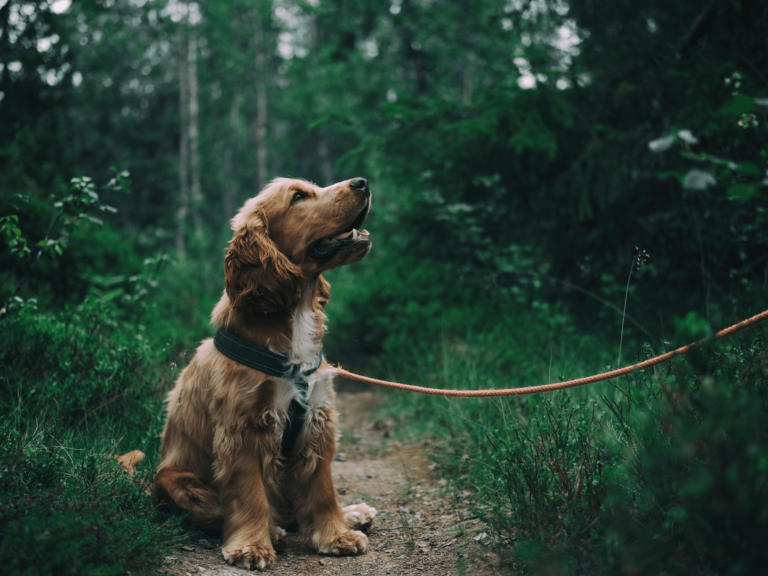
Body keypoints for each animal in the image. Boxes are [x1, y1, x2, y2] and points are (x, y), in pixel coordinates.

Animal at [154, 178, 378, 568]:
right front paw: (252, 546)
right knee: (220, 511)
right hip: (172, 479)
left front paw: (336, 535)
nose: (362, 182)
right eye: (299, 196)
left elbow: (323, 488)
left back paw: (351, 513)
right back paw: (273, 530)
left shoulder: (318, 419)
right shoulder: (244, 428)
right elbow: (250, 493)